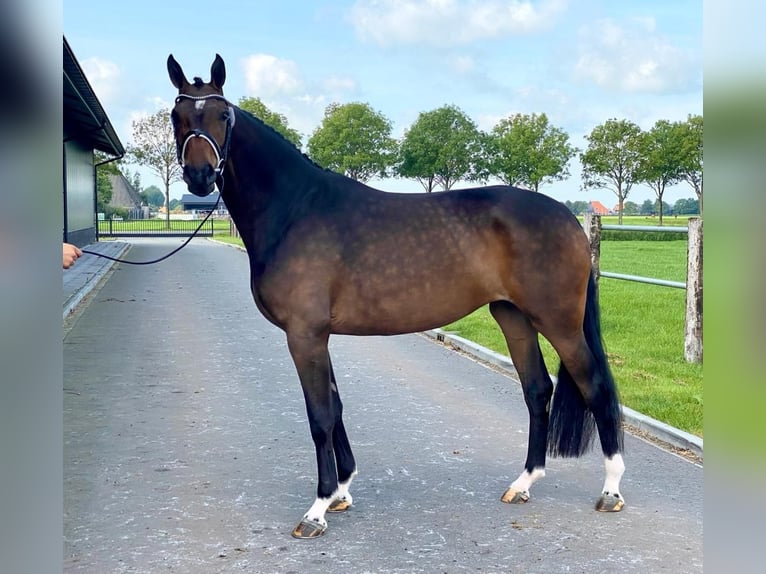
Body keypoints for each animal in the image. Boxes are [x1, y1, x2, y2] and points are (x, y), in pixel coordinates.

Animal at [167, 54, 625, 539]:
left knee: (595, 388)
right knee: (537, 390)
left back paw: (611, 490)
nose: (199, 177)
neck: (295, 209)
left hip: (558, 322)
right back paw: (523, 483)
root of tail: (569, 219)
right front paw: (342, 491)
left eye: (222, 115)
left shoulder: (304, 335)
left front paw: (317, 509)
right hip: (512, 316)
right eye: (178, 116)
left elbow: (320, 416)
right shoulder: (317, 335)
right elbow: (336, 406)